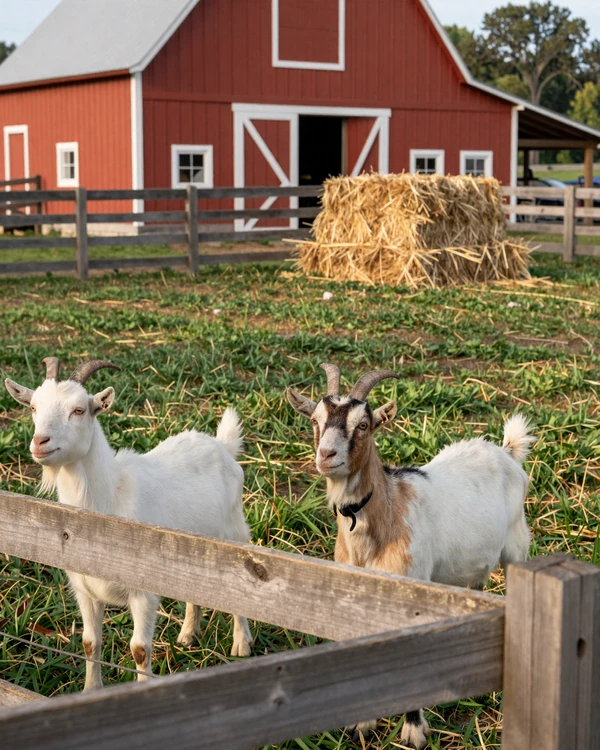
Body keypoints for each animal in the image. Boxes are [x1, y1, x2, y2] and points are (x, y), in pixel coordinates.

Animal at [5, 357, 253, 691]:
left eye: (79, 410)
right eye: (33, 407)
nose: (40, 442)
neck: (110, 496)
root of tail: (221, 445)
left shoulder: (143, 593)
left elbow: (139, 649)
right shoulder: (84, 590)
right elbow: (90, 643)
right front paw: (90, 690)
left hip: (234, 531)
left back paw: (241, 644)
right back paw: (187, 635)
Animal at [288, 363, 533, 749]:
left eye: (364, 424)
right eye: (315, 420)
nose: (326, 455)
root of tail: (506, 452)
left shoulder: (412, 585)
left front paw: (414, 731)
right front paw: (361, 722)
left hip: (517, 546)